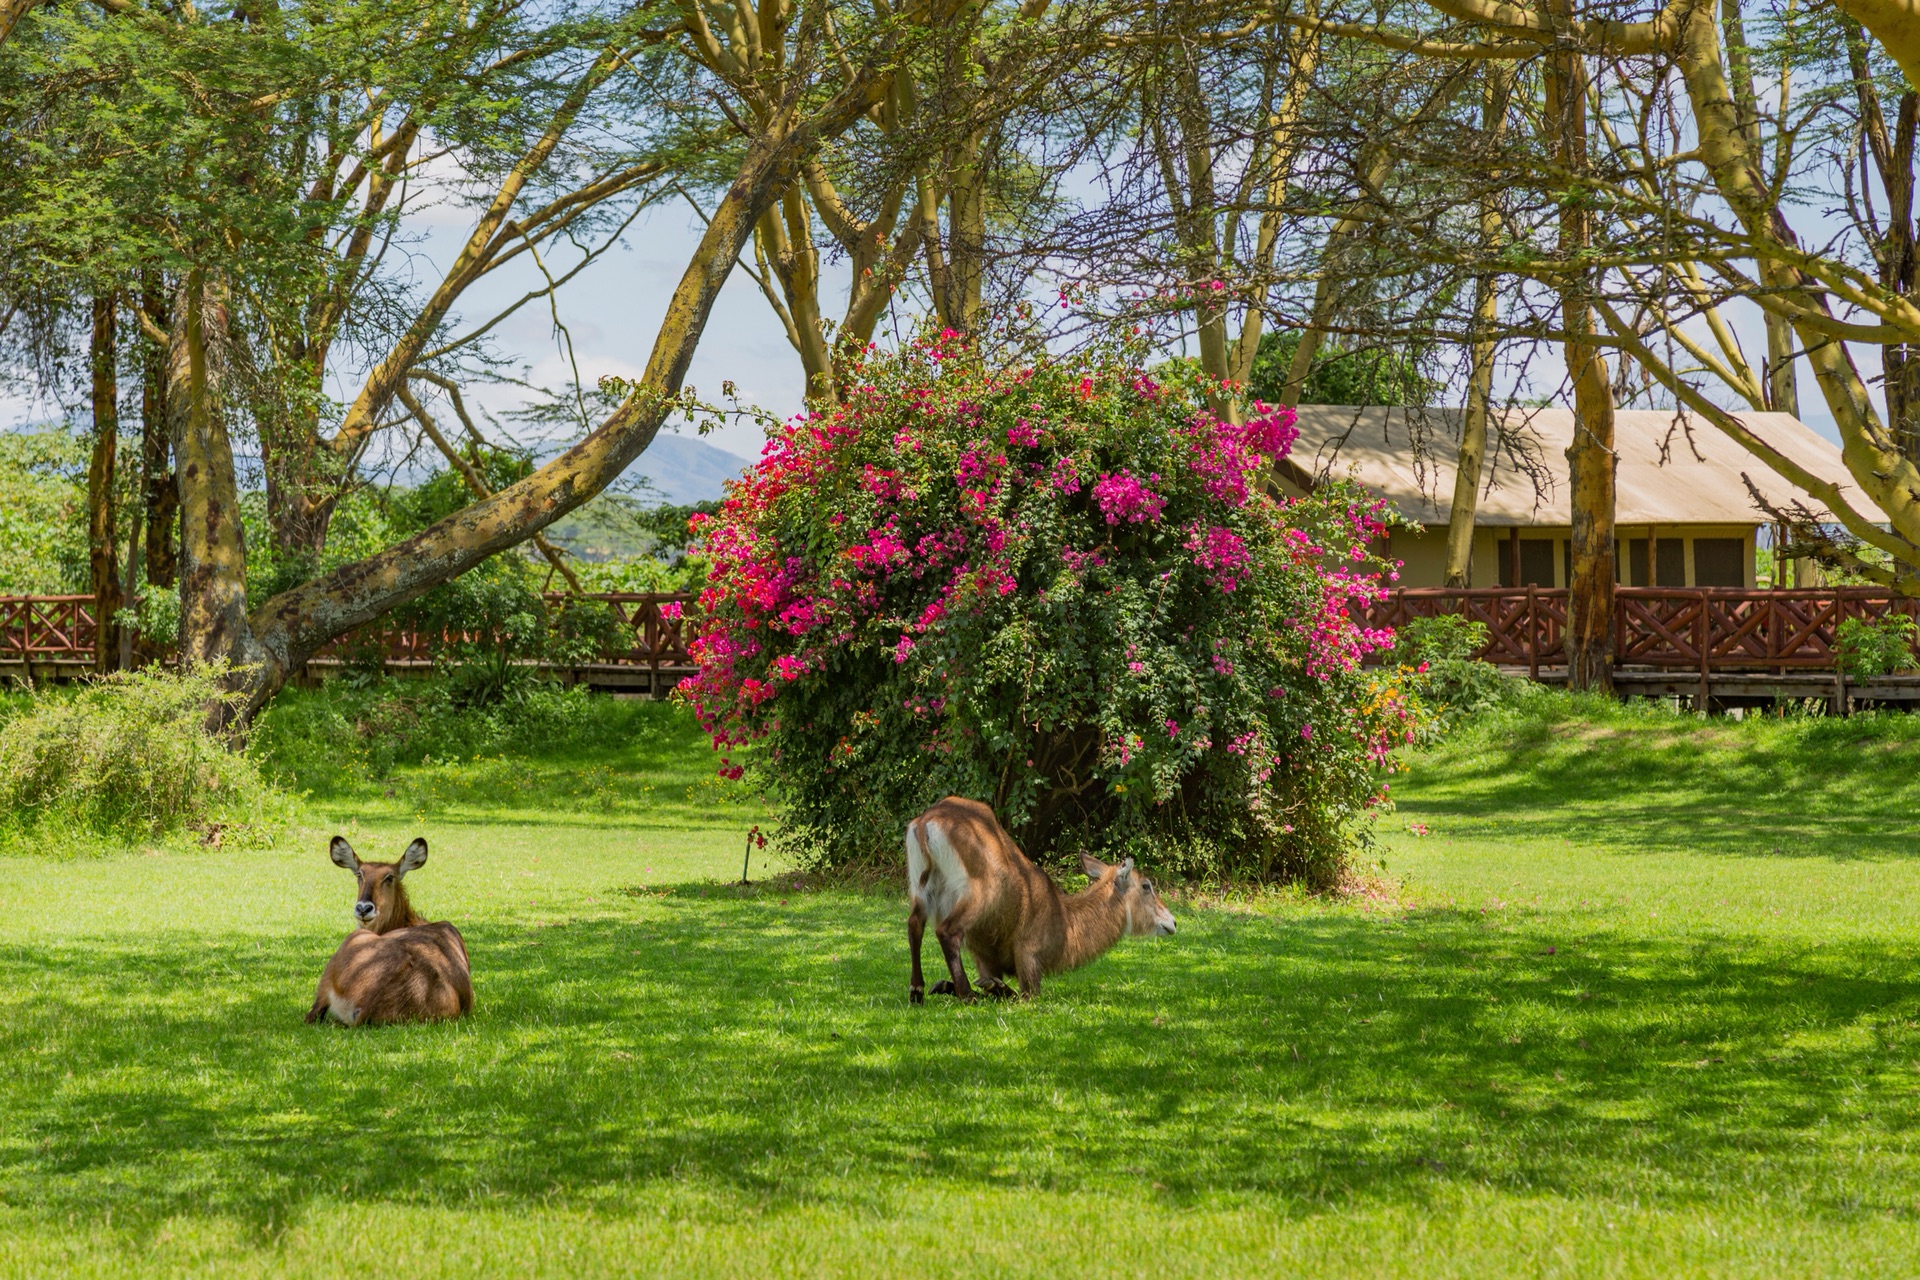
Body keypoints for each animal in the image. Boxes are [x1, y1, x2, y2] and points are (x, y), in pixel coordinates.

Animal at [906, 802, 1175, 997]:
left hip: (921, 888)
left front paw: (946, 985)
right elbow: (1022, 994)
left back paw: (918, 991)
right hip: (981, 894)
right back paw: (966, 994)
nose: (1172, 922)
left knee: (914, 924)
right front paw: (987, 988)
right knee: (946, 931)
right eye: (1146, 886)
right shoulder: (1028, 957)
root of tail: (925, 822)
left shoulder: (983, 957)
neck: (1065, 921)